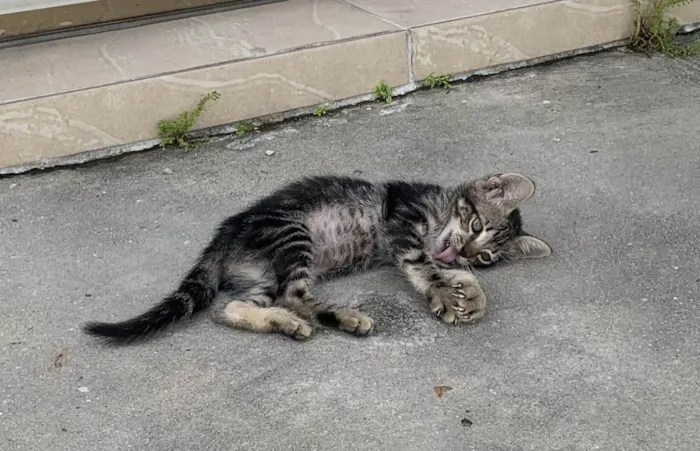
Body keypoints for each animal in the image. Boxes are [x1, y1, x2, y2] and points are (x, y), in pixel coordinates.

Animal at [83, 173, 552, 342]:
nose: (465, 252)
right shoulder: (401, 224)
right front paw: (444, 294)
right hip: (294, 234)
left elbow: (446, 270)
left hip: (260, 279)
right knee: (294, 295)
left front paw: (471, 294)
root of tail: (226, 232)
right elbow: (423, 265)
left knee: (231, 308)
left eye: (486, 255)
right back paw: (342, 317)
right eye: (475, 224)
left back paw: (286, 323)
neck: (438, 208)